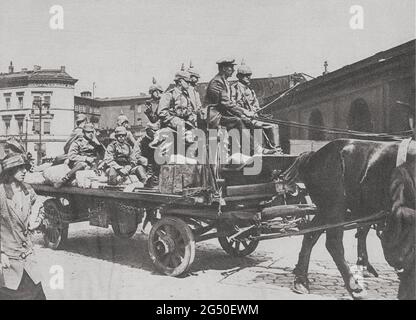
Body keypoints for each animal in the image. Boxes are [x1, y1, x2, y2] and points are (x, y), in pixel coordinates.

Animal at [282, 139, 414, 298]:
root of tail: (313, 156)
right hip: (335, 208)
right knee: (333, 243)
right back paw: (353, 286)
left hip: (326, 210)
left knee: (310, 236)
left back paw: (301, 280)